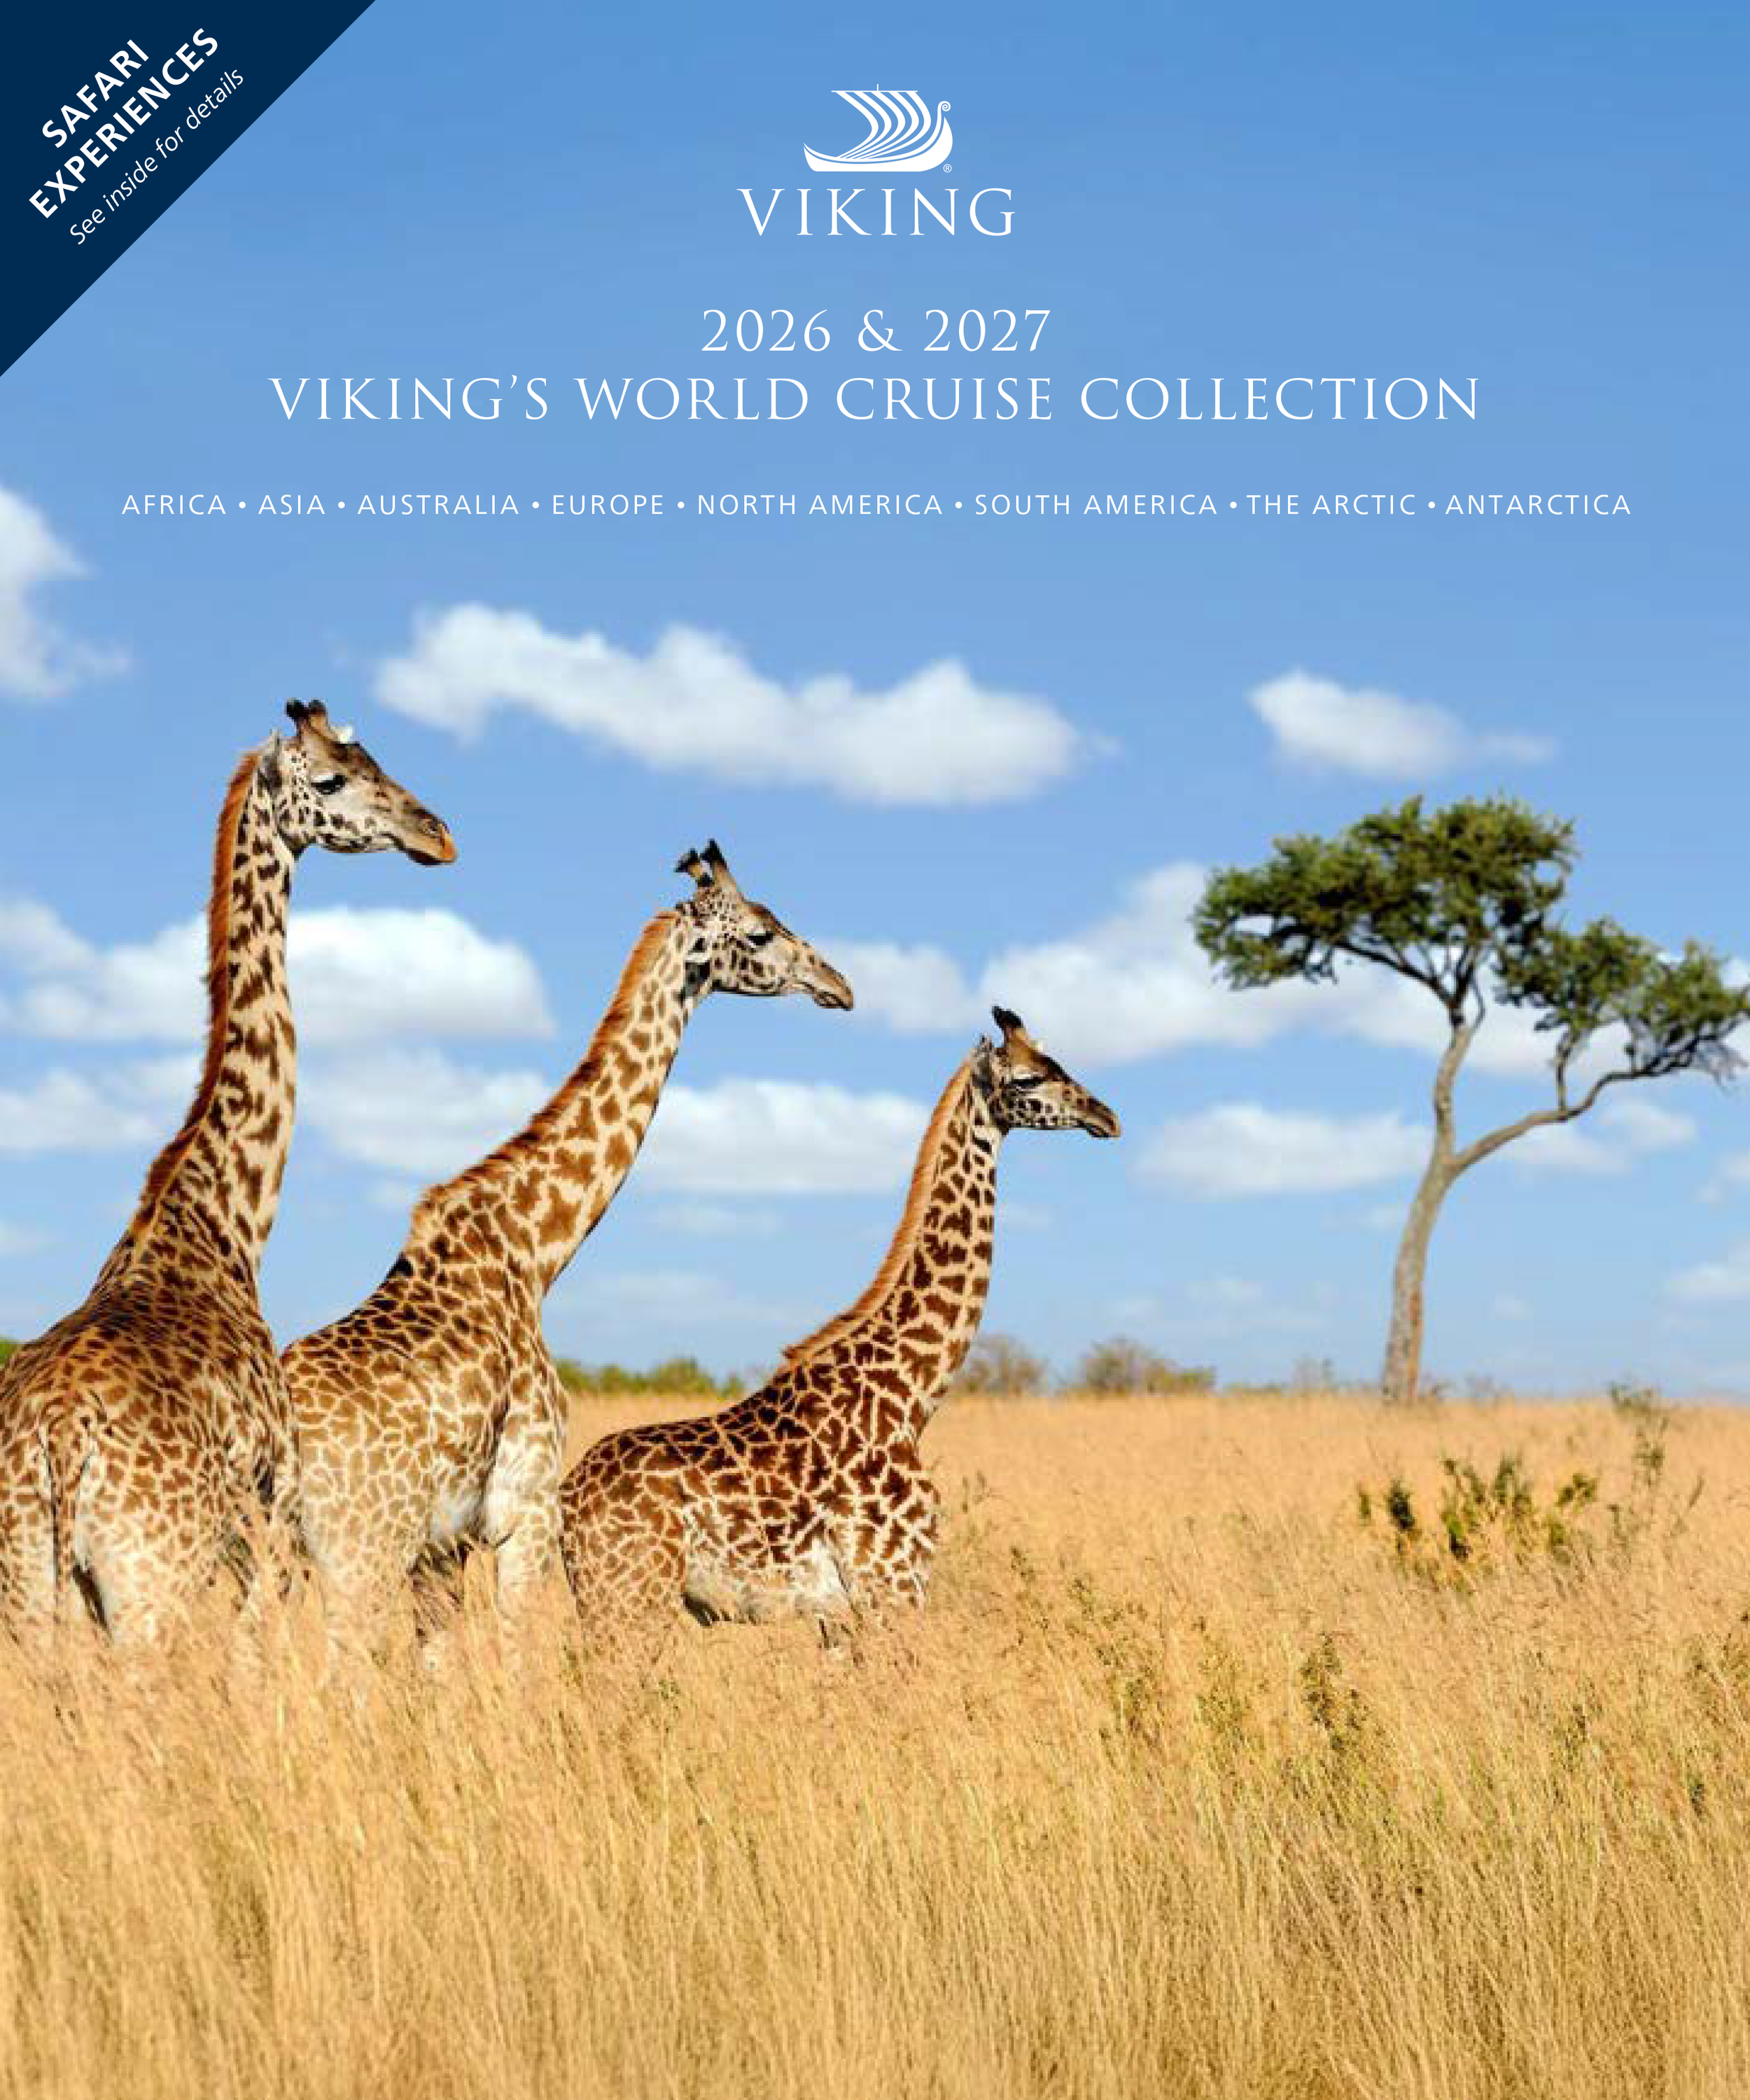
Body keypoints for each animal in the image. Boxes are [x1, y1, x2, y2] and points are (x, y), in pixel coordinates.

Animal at [0, 702, 456, 1643]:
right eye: (333, 778)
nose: (437, 834)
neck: (224, 1217)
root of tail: (58, 1436)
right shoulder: (271, 1520)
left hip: (31, 1586)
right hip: (152, 1584)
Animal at [285, 840, 854, 1646]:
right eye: (762, 932)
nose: (838, 984)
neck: (533, 1250)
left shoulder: (444, 1546)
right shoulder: (524, 1509)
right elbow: (521, 1650)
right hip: (359, 1545)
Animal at [557, 1006, 1119, 1639]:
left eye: (1058, 1062)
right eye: (1027, 1079)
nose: (1107, 1116)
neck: (911, 1395)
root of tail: (565, 1502)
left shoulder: (841, 1617)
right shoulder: (892, 1584)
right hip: (630, 1600)